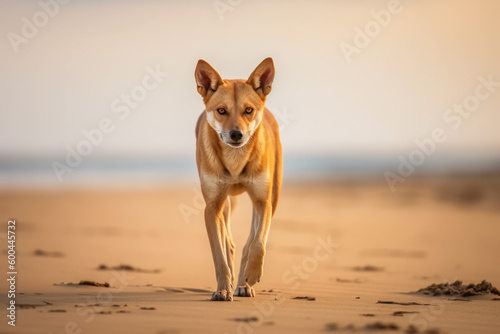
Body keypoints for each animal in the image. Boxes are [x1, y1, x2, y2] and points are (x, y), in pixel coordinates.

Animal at [194, 58, 282, 302]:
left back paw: (243, 283)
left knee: (248, 243)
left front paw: (252, 274)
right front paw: (223, 288)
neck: (235, 160)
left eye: (248, 110)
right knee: (229, 244)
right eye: (221, 111)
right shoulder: (212, 207)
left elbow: (258, 244)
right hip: (224, 204)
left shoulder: (263, 202)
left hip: (273, 196)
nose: (236, 134)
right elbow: (219, 254)